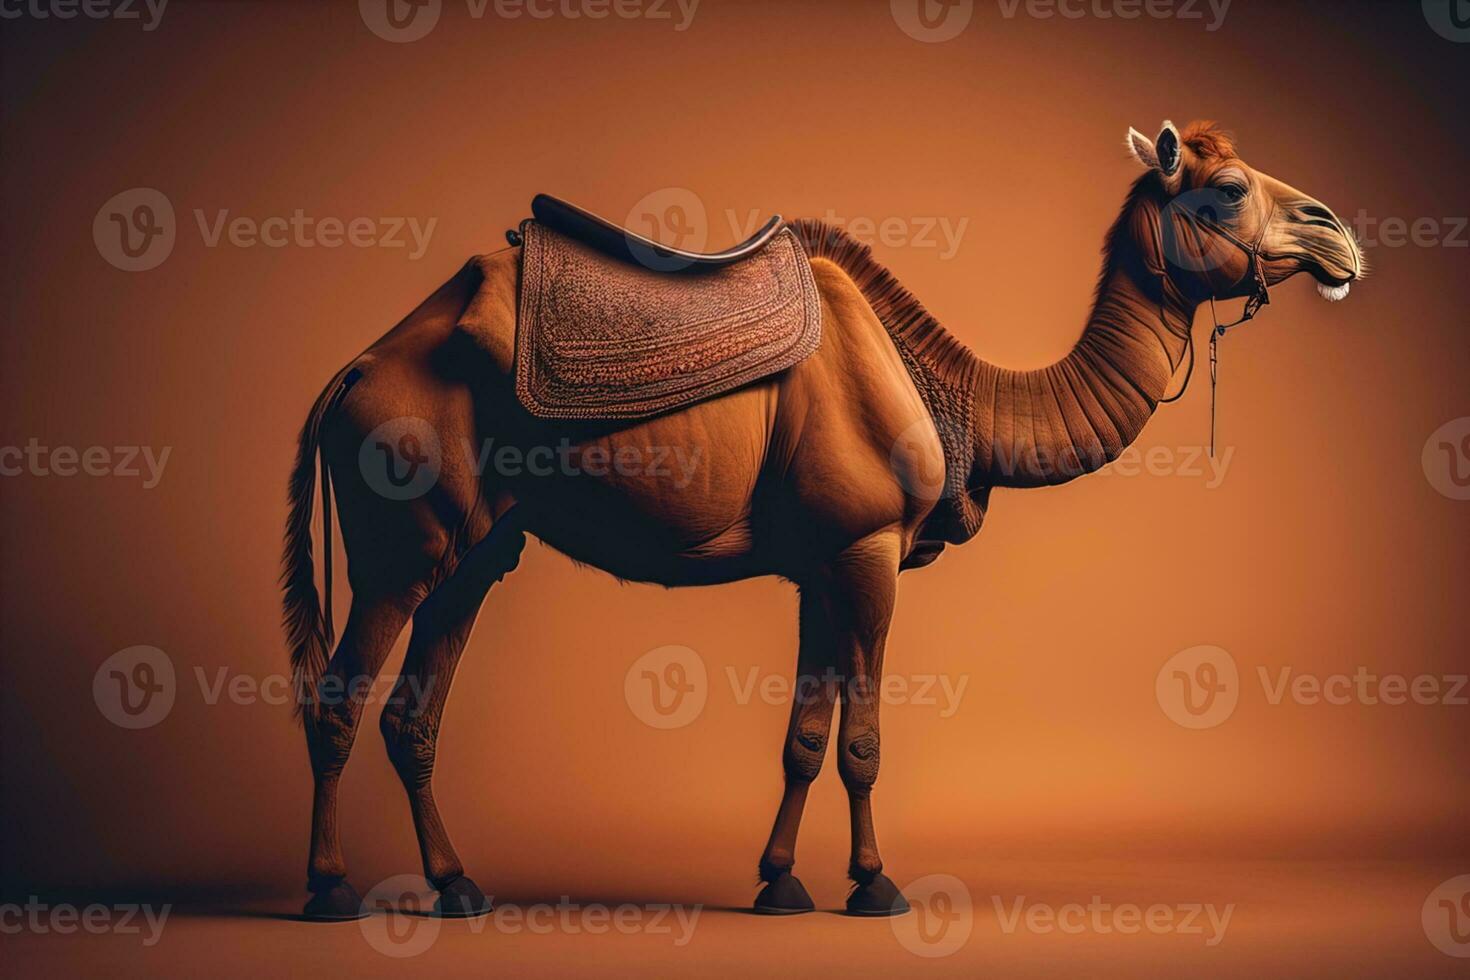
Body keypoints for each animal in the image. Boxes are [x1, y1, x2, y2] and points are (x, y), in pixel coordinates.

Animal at [281, 121, 1363, 919]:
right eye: (1228, 189)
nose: (1339, 234)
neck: (965, 397)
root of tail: (352, 373)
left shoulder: (818, 559)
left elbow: (804, 731)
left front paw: (780, 882)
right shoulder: (868, 547)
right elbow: (863, 737)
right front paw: (877, 885)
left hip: (475, 549)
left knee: (414, 714)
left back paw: (458, 885)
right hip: (399, 544)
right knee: (338, 695)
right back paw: (329, 890)